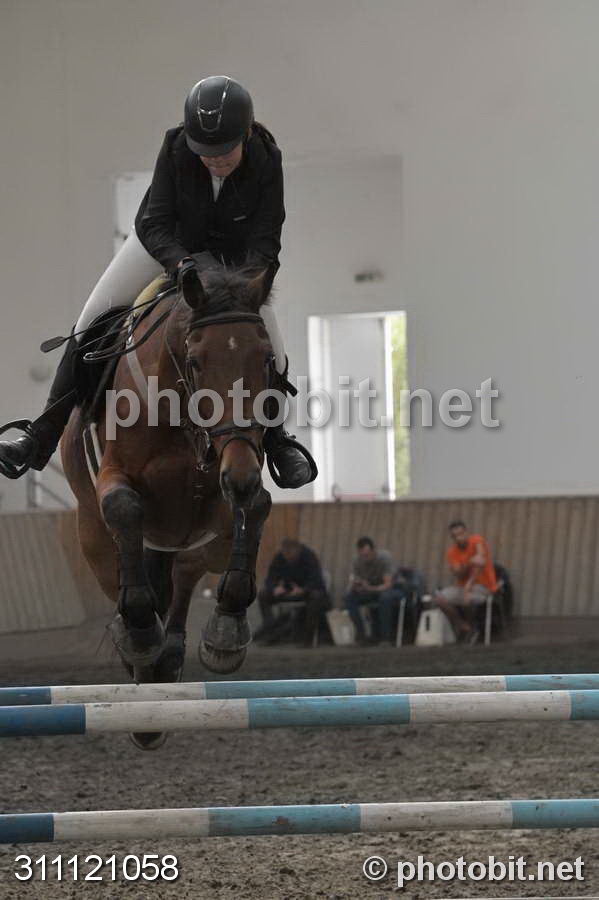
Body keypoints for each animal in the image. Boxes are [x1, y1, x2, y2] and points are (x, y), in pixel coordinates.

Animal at [61, 265, 275, 746]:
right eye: (196, 361)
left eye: (267, 359)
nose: (240, 475)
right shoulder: (115, 479)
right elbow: (123, 508)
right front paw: (141, 635)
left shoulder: (225, 487)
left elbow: (255, 506)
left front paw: (225, 633)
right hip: (93, 540)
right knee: (125, 576)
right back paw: (143, 669)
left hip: (197, 544)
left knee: (183, 580)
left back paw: (172, 657)